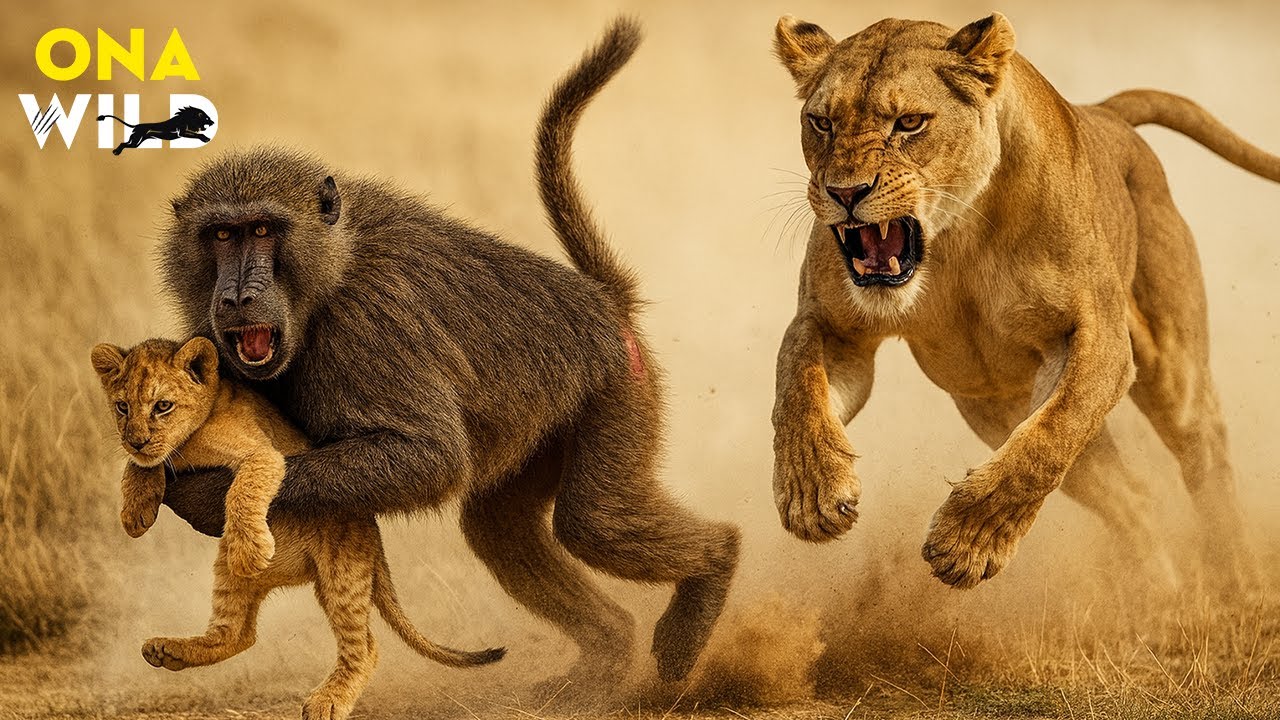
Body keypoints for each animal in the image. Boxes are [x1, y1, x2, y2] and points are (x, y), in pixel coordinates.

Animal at [91, 337, 503, 720]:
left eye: (163, 406)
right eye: (122, 407)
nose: (136, 440)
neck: (189, 441)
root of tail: (372, 528)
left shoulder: (264, 455)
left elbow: (242, 488)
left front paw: (250, 550)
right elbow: (139, 465)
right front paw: (136, 508)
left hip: (343, 572)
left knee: (365, 647)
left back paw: (328, 700)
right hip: (230, 573)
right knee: (237, 634)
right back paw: (169, 650)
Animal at [769, 13, 1278, 590]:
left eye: (910, 123)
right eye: (822, 123)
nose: (844, 193)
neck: (954, 238)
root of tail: (1105, 113)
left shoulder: (1097, 338)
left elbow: (1046, 443)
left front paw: (967, 543)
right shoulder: (834, 326)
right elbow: (799, 390)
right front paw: (812, 491)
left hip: (1172, 369)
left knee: (1204, 452)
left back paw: (1237, 582)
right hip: (999, 410)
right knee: (1132, 498)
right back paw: (1160, 591)